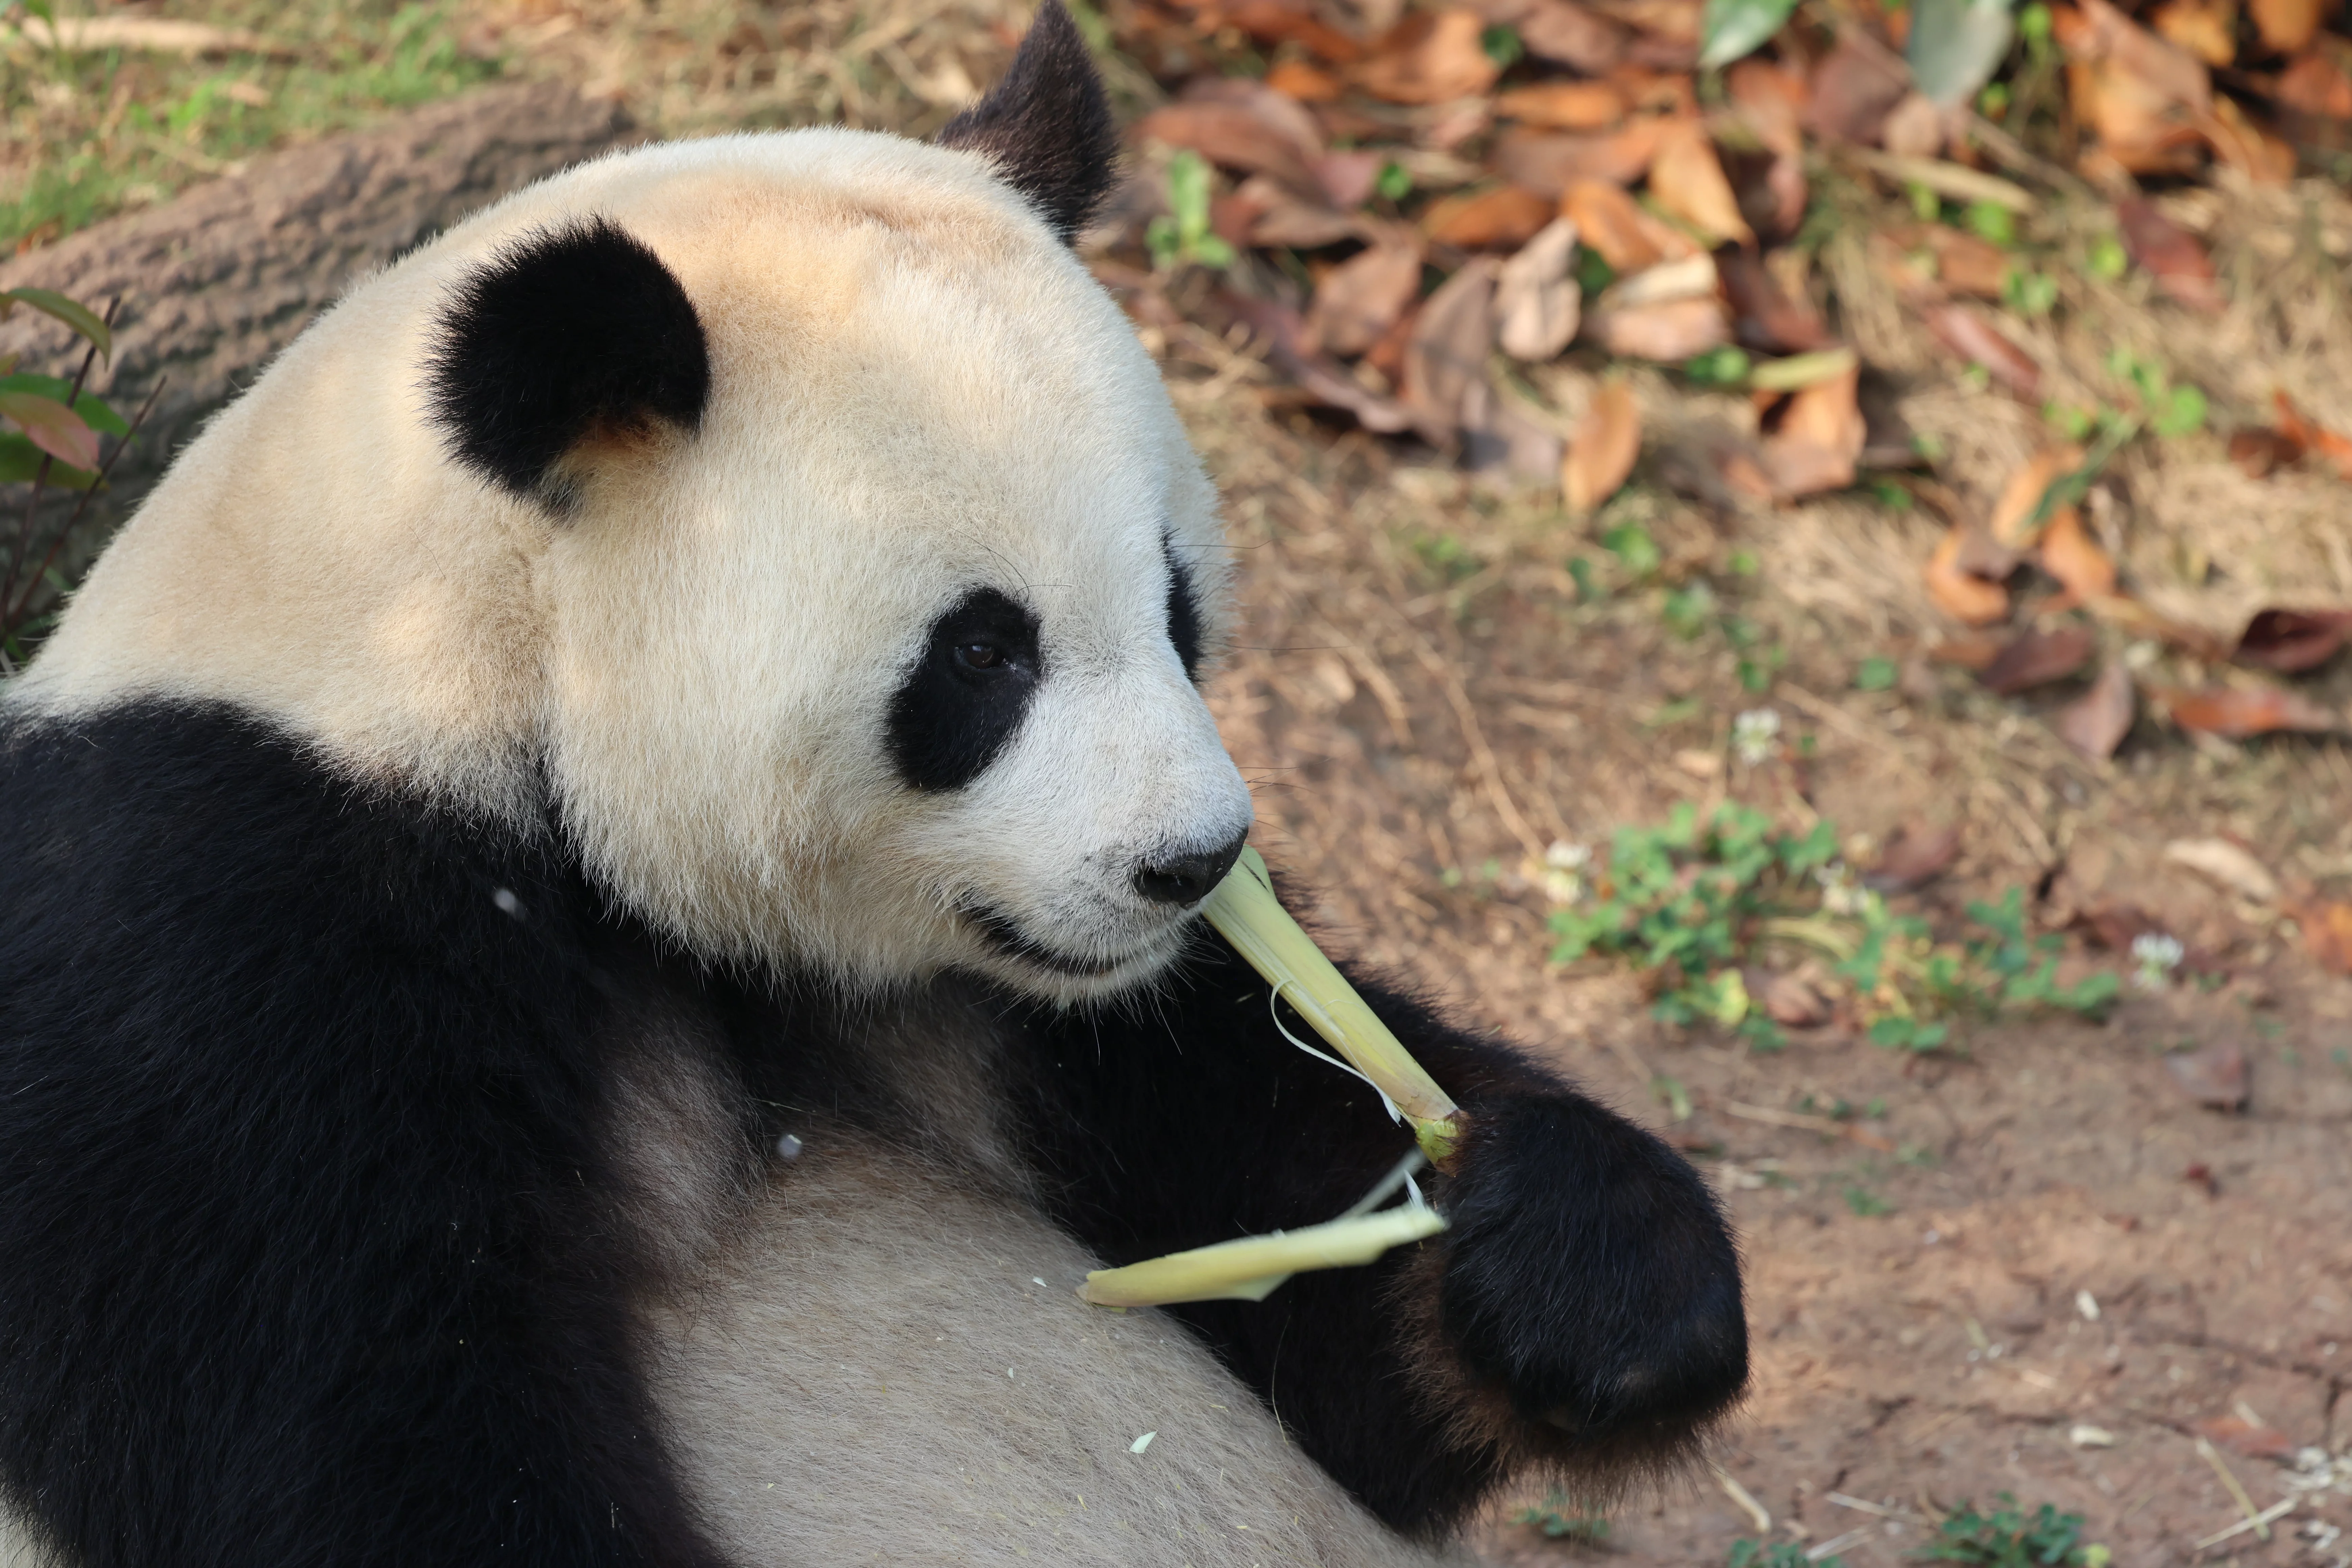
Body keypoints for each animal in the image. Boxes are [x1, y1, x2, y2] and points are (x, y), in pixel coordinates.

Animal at [0, 7, 1747, 1565]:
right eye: (981, 655)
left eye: (1180, 602)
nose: (1193, 863)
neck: (460, 653)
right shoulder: (231, 957)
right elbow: (357, 1458)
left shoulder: (1031, 1023)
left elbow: (1293, 1272)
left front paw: (1584, 1257)